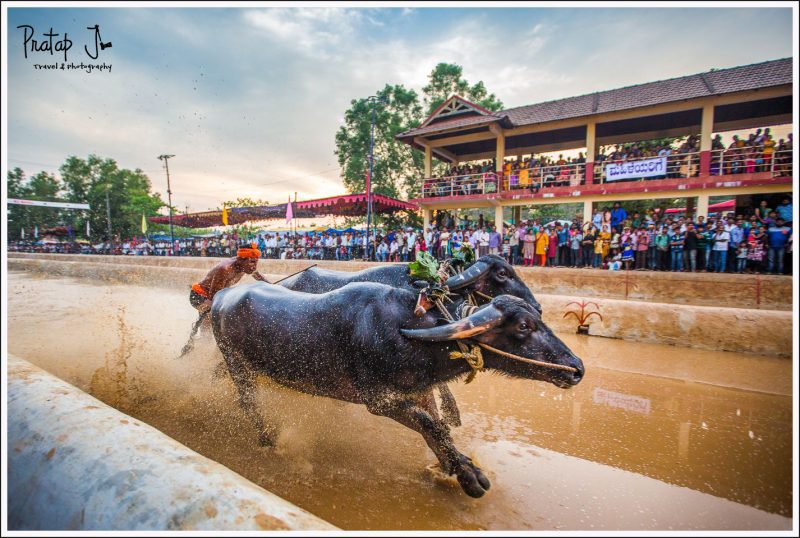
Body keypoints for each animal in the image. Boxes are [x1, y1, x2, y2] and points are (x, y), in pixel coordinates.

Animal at [212, 282, 584, 496]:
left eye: (539, 316)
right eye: (524, 326)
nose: (577, 368)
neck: (413, 332)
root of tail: (221, 296)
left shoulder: (420, 392)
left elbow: (439, 428)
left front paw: (461, 467)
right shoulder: (381, 401)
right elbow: (431, 426)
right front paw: (466, 476)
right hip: (238, 366)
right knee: (249, 403)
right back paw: (268, 440)